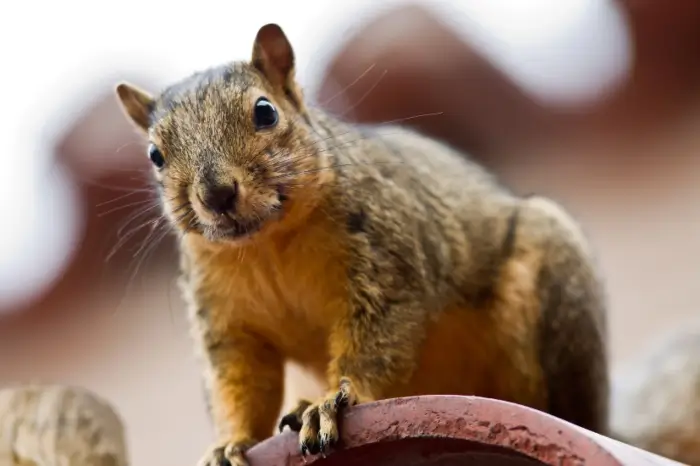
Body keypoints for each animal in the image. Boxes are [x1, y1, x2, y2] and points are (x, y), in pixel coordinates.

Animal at [110, 20, 696, 466]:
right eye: (155, 156)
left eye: (264, 112)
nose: (216, 194)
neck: (266, 244)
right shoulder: (227, 323)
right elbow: (239, 384)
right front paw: (228, 444)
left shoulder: (386, 258)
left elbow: (378, 342)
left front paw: (332, 404)